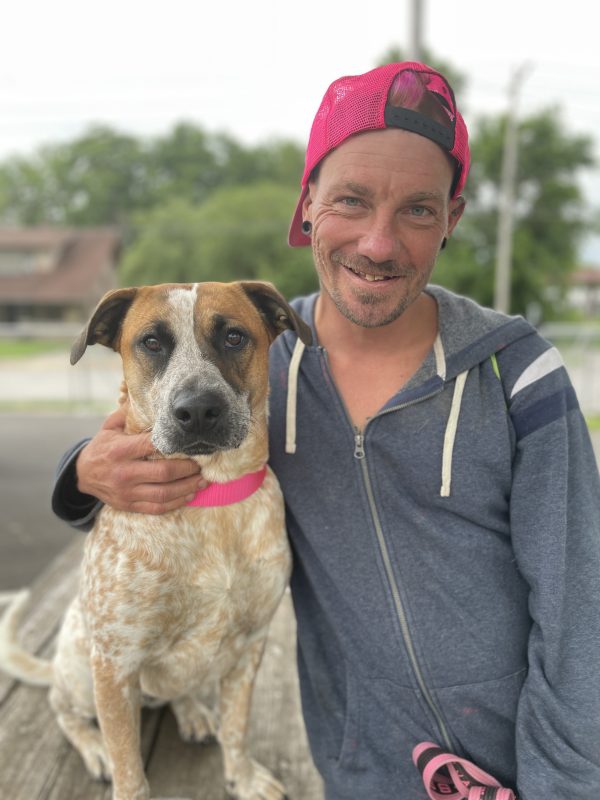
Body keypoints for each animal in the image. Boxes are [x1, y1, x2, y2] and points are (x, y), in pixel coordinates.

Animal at [0, 282, 312, 800]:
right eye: (150, 342)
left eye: (233, 336)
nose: (198, 410)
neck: (212, 499)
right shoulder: (115, 665)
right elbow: (131, 773)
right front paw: (116, 760)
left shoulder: (250, 645)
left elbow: (237, 729)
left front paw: (243, 778)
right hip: (82, 671)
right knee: (63, 710)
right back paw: (93, 746)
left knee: (177, 693)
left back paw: (192, 713)